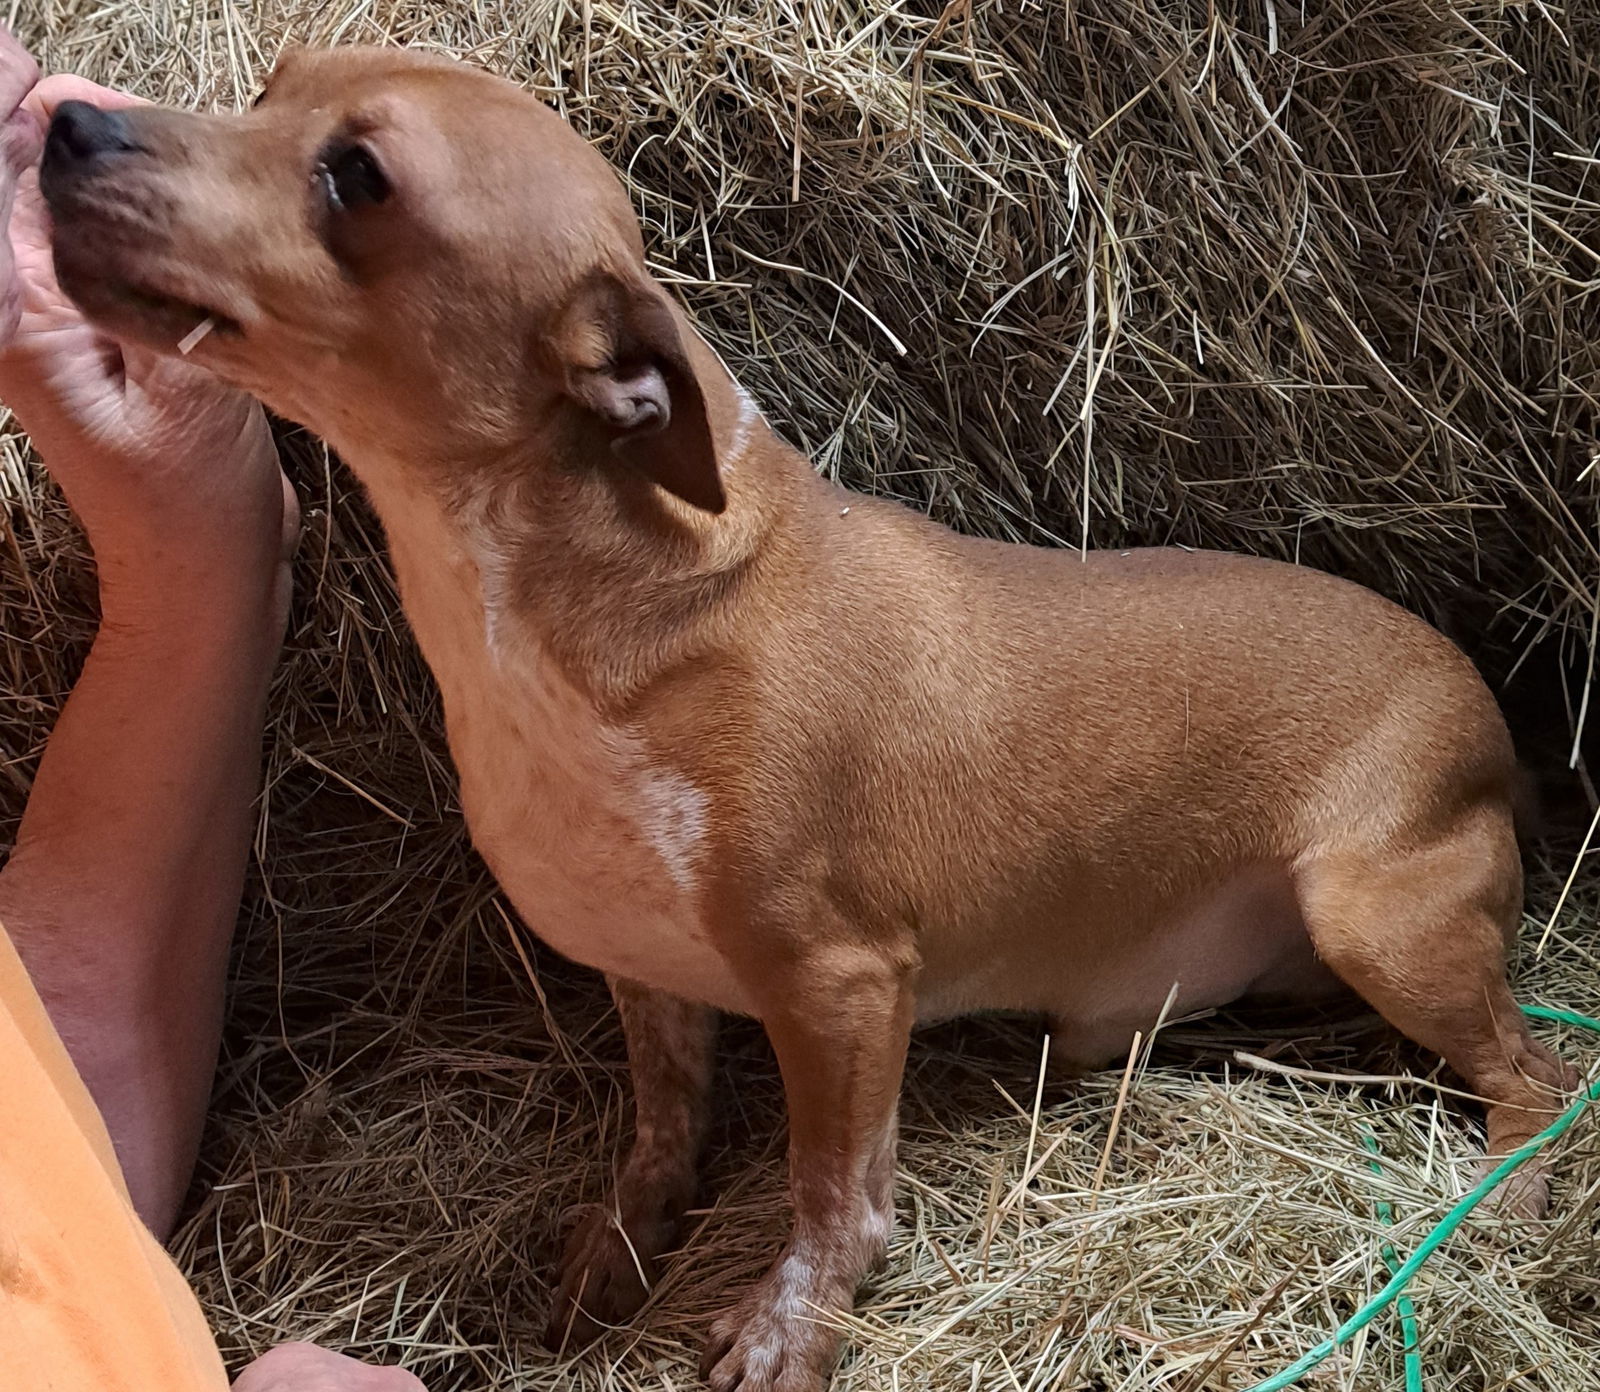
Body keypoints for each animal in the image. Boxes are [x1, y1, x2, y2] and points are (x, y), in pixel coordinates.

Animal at [37, 49, 1574, 1392]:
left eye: (356, 177)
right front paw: (617, 1252)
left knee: (1541, 1077)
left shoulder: (840, 986)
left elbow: (833, 1203)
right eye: (268, 84)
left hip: (1380, 921)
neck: (554, 615)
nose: (67, 126)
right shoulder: (647, 980)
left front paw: (789, 1331)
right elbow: (660, 1138)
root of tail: (1489, 721)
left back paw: (1502, 1204)